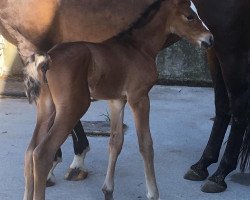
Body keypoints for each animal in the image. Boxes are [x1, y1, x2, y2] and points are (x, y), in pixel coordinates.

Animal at [23, 0, 213, 200]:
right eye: (189, 16)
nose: (210, 39)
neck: (139, 48)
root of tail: (47, 59)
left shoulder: (117, 100)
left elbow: (116, 142)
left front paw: (108, 191)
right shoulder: (139, 97)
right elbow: (145, 143)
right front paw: (153, 192)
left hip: (47, 108)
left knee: (30, 152)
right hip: (74, 107)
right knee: (42, 153)